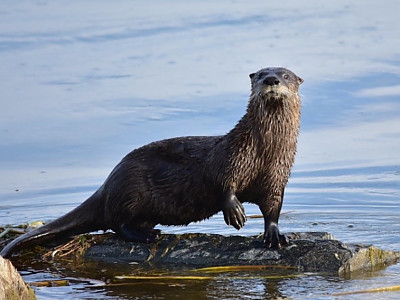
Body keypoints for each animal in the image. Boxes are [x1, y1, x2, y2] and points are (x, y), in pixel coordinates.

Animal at [0, 67, 304, 258]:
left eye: (285, 75)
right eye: (261, 74)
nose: (271, 80)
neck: (264, 153)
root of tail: (107, 184)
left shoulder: (277, 176)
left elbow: (273, 207)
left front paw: (275, 235)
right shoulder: (231, 157)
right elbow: (221, 182)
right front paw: (235, 212)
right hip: (130, 190)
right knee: (117, 224)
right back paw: (147, 235)